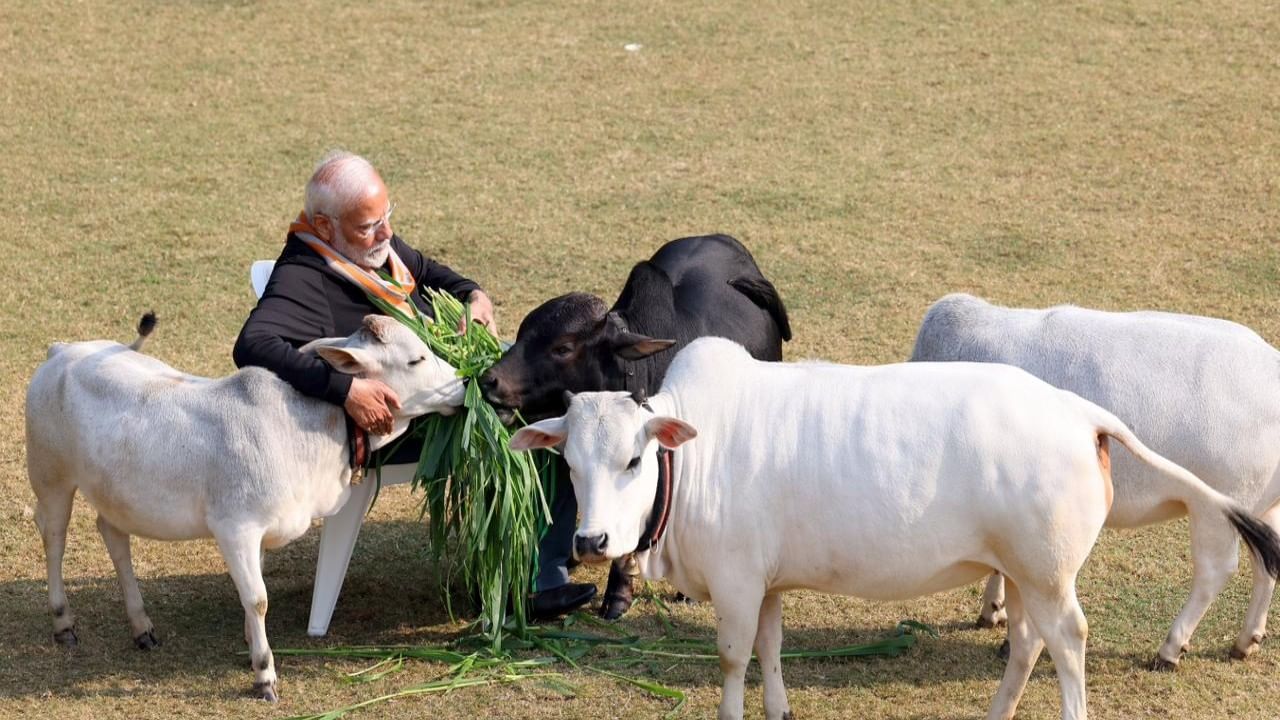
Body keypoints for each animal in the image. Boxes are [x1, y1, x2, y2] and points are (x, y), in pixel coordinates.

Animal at [27, 311, 465, 696]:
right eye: (416, 358)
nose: (463, 385)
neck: (304, 430)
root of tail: (62, 350)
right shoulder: (235, 528)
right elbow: (258, 599)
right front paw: (264, 673)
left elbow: (254, 590)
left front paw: (251, 646)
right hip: (50, 476)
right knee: (54, 538)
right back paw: (63, 622)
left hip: (115, 493)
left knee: (113, 535)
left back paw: (141, 627)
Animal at [509, 335, 1280, 717]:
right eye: (569, 464)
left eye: (635, 459)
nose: (591, 542)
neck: (700, 452)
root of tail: (1079, 412)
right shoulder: (767, 582)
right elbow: (769, 649)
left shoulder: (734, 581)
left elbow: (731, 658)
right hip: (1024, 575)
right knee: (1028, 644)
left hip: (1049, 573)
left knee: (1067, 644)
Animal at [911, 293, 1280, 666]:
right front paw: (993, 608)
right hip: (1258, 506)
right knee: (1268, 559)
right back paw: (1247, 640)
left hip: (1220, 505)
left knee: (1215, 571)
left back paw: (1171, 648)